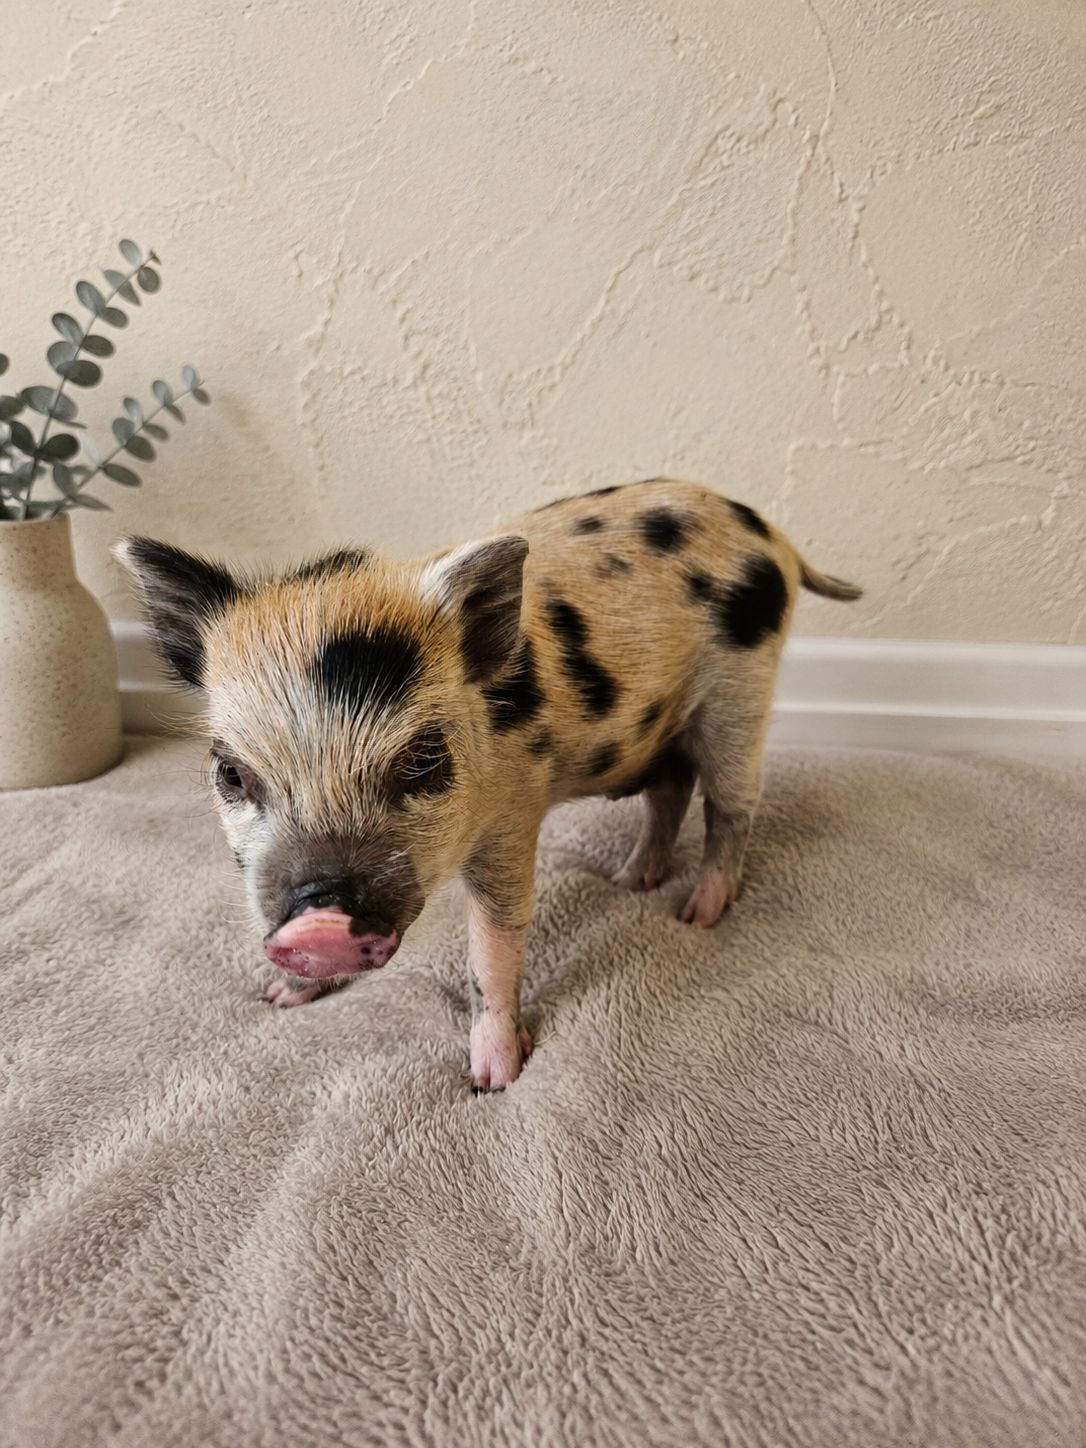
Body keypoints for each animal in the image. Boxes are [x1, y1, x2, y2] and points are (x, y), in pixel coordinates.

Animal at [116, 479, 860, 1091]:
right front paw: (279, 1000)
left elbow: (494, 947)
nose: (321, 918)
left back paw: (696, 914)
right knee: (670, 789)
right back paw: (629, 882)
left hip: (740, 693)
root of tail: (767, 531)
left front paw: (493, 1080)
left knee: (731, 806)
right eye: (230, 772)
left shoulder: (512, 821)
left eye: (422, 760)